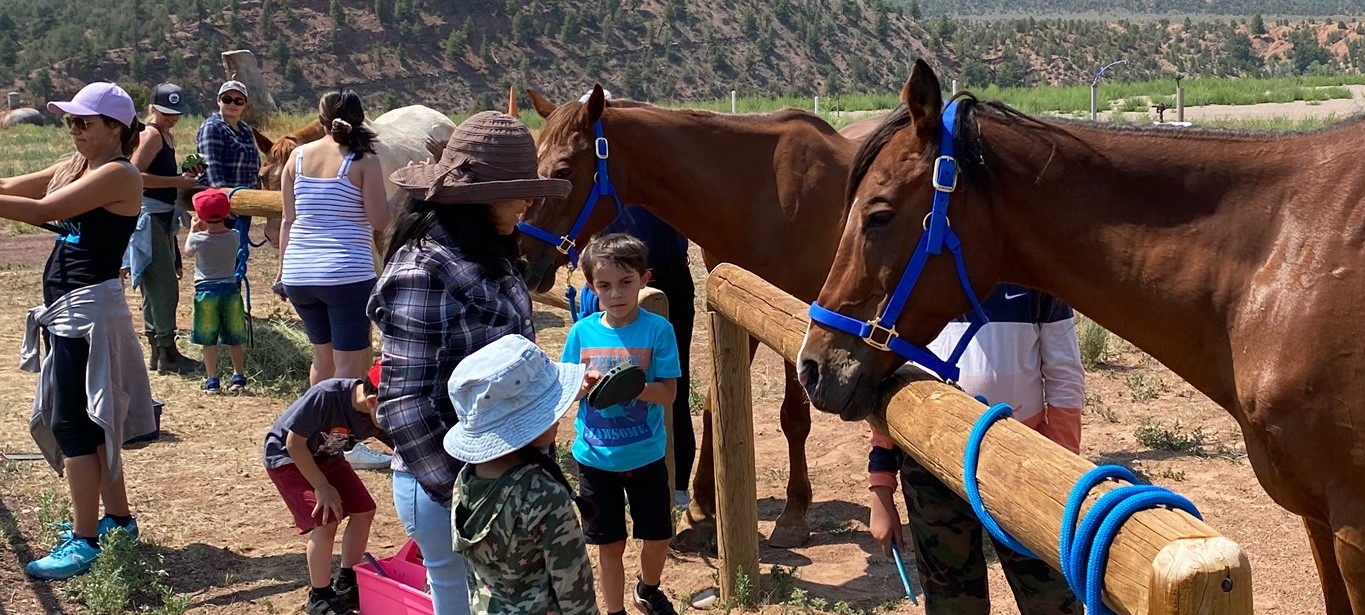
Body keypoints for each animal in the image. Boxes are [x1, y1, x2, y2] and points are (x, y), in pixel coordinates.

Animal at [518, 84, 851, 545]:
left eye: (564, 169)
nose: (522, 258)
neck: (762, 191)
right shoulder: (733, 305)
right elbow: (712, 403)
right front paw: (701, 506)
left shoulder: (792, 317)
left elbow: (794, 416)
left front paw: (794, 512)